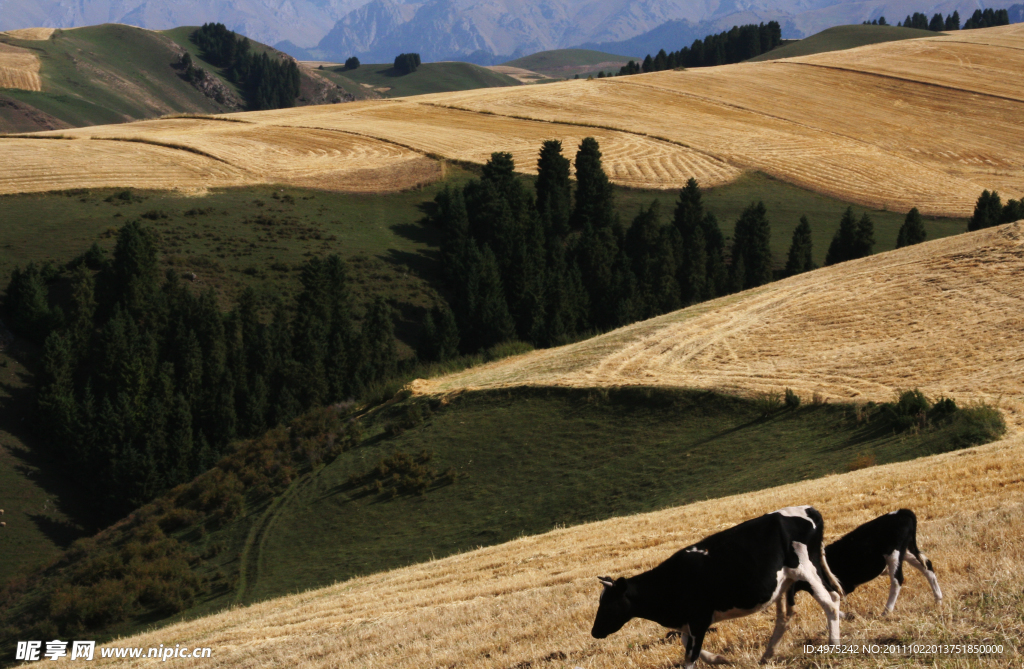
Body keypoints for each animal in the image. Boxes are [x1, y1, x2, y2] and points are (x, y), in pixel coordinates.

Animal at [593, 504, 839, 663]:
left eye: (608, 604)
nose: (594, 632)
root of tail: (809, 510)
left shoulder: (699, 618)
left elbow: (690, 656)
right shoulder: (689, 622)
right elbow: (686, 644)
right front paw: (719, 658)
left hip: (805, 570)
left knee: (829, 602)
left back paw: (833, 645)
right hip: (786, 581)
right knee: (788, 616)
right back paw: (767, 655)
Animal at [790, 508, 942, 614]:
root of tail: (901, 512)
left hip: (893, 554)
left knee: (897, 579)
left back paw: (886, 611)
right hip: (906, 552)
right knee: (927, 566)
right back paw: (938, 599)